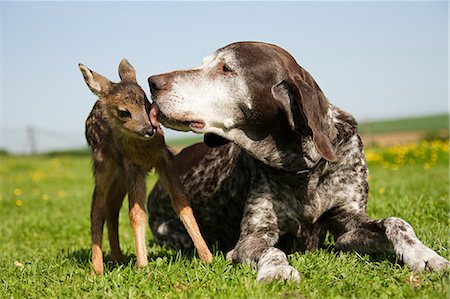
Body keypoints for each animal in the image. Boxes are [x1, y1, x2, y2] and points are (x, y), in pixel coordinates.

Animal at [146, 42, 448, 284]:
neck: (302, 168)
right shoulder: (254, 236)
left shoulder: (347, 225)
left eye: (226, 68)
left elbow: (396, 222)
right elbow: (272, 249)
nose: (152, 82)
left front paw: (424, 255)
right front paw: (277, 271)